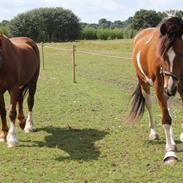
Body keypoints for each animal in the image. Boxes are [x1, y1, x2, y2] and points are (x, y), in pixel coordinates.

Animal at [129, 16, 183, 164]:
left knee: (169, 108)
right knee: (149, 105)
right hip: (145, 83)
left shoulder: (179, 84)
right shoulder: (160, 87)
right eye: (163, 56)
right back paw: (154, 133)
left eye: (182, 54)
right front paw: (169, 150)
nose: (170, 87)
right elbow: (166, 119)